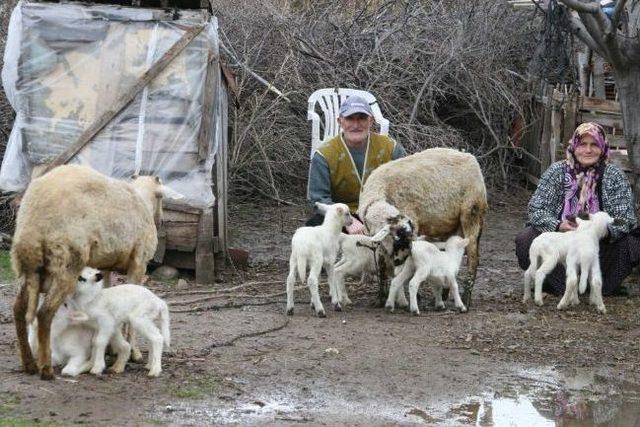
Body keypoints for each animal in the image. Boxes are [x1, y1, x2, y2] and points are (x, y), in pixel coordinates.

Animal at [12, 165, 178, 382]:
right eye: (161, 198)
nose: (163, 221)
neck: (142, 198)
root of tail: (33, 221)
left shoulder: (105, 265)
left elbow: (107, 293)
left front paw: (112, 349)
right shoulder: (139, 263)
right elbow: (133, 304)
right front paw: (134, 352)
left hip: (28, 268)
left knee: (18, 310)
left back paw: (28, 364)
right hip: (66, 261)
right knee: (44, 313)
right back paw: (46, 368)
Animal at [358, 149, 488, 310]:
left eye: (406, 237)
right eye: (399, 237)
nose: (399, 261)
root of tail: (470, 157)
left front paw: (410, 298)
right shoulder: (382, 243)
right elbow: (382, 266)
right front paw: (381, 299)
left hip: (472, 213)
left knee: (473, 258)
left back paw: (466, 299)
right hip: (452, 224)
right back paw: (443, 295)